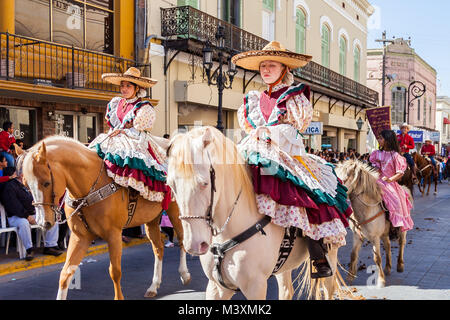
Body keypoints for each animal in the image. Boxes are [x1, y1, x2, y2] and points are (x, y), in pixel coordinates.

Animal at [15, 137, 190, 300]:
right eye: (26, 184)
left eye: (46, 183)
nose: (43, 222)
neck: (88, 187)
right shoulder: (80, 237)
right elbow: (66, 273)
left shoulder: (114, 234)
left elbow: (115, 271)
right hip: (152, 219)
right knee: (158, 248)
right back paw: (154, 286)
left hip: (175, 212)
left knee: (182, 240)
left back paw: (184, 274)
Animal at [168, 125, 348, 300]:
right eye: (171, 185)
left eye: (204, 183)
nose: (194, 245)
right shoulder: (217, 287)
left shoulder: (256, 287)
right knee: (286, 291)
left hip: (331, 255)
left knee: (328, 289)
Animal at [336, 160, 414, 288]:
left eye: (346, 178)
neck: (367, 209)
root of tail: (405, 189)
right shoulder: (357, 236)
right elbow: (353, 254)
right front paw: (350, 277)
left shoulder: (375, 237)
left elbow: (377, 258)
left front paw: (381, 281)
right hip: (385, 233)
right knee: (387, 245)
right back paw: (387, 268)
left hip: (403, 229)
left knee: (402, 243)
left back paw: (400, 265)